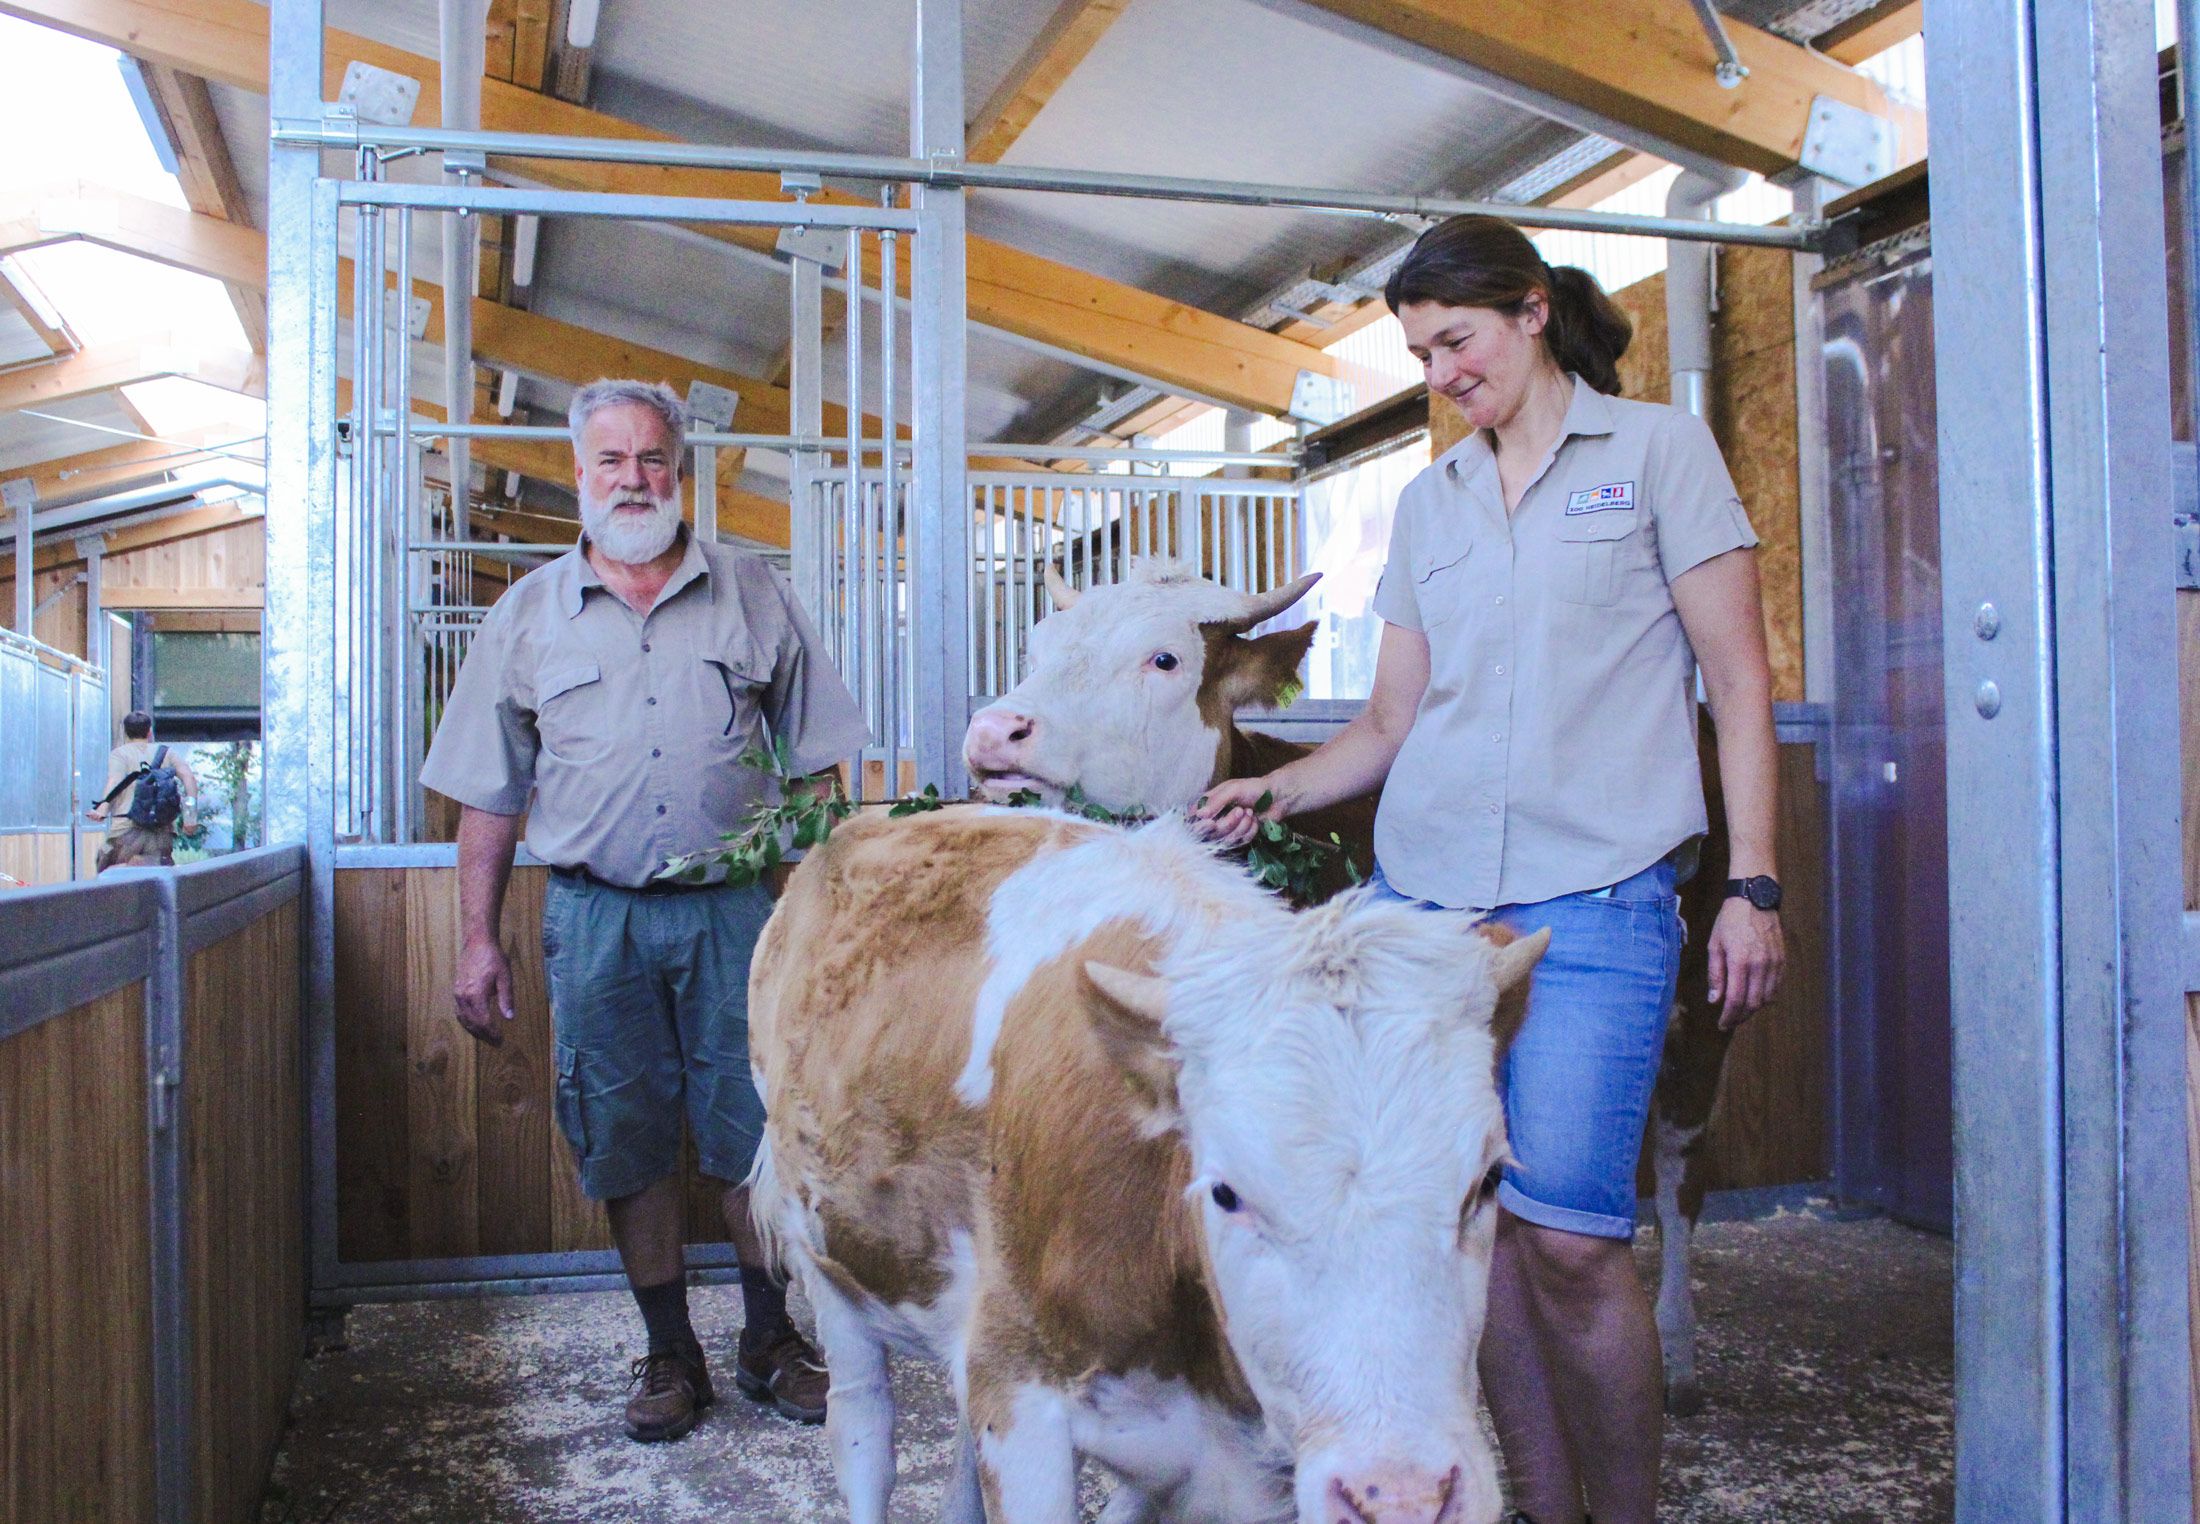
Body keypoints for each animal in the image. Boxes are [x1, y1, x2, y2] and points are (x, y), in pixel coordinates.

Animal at [752, 800, 1548, 1513]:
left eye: (1486, 1180)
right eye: (1225, 1192)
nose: (1404, 1498)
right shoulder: (1018, 1393)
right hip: (827, 1259)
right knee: (863, 1431)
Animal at [972, 558, 1742, 1416]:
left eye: (1164, 659)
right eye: (1037, 648)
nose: (994, 730)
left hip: (1705, 1001)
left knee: (1677, 1165)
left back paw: (1676, 1350)